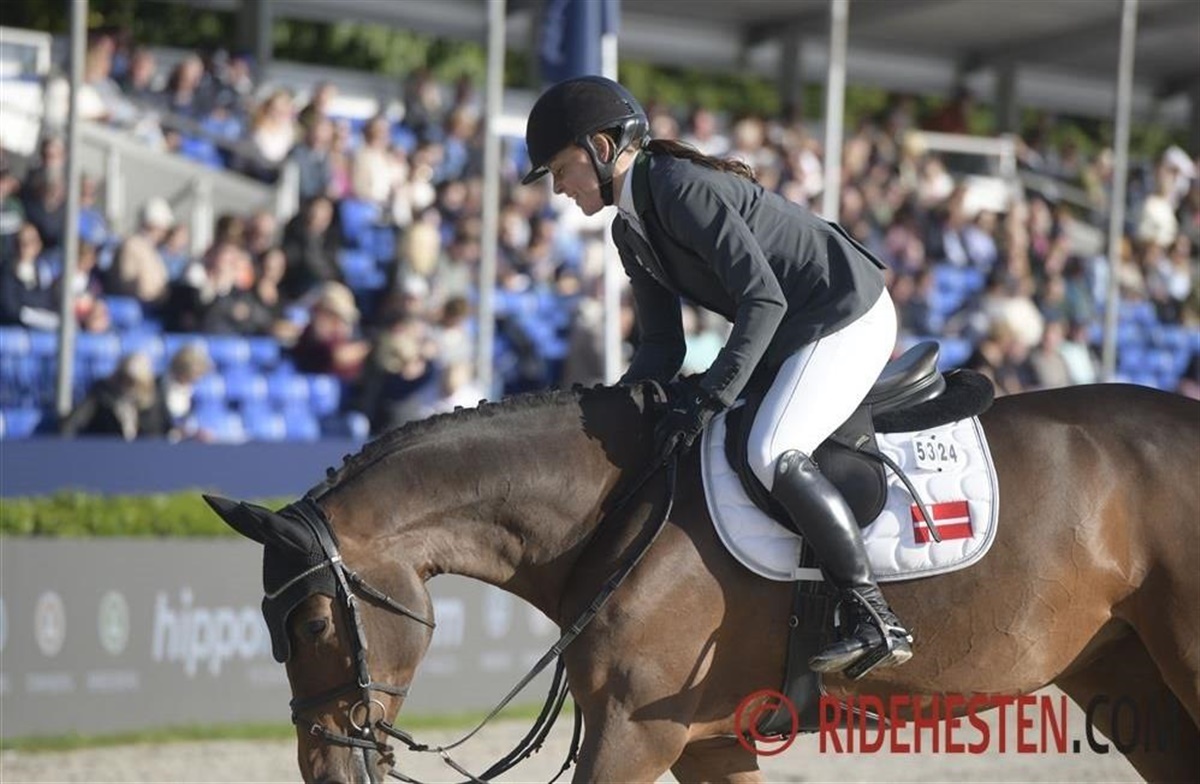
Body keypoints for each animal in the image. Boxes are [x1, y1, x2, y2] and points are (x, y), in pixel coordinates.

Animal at [206, 379, 1200, 783]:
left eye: (312, 627)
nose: (325, 771)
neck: (614, 510)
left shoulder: (635, 736)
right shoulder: (705, 743)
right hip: (1124, 675)